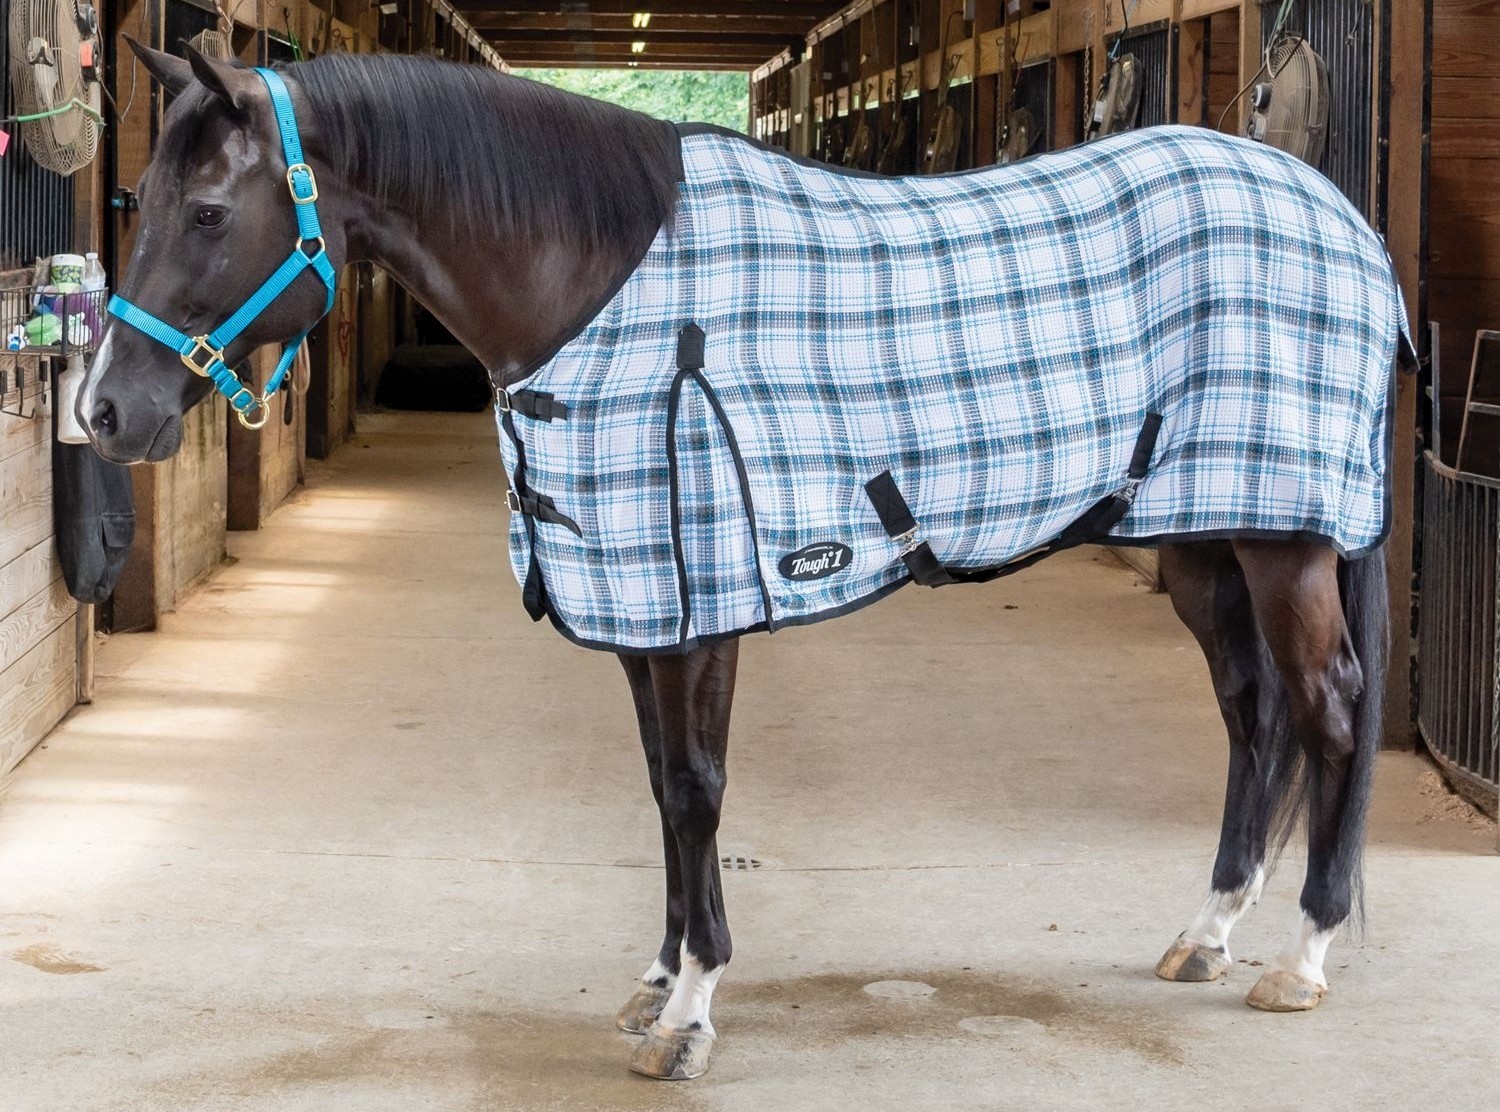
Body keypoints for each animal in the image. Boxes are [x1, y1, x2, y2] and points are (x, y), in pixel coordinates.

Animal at [82, 44, 1406, 1081]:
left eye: (208, 214)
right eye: (137, 196)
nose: (103, 412)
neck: (598, 280)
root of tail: (1341, 217)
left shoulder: (698, 602)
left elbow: (694, 787)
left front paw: (693, 1011)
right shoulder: (636, 605)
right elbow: (657, 785)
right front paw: (656, 976)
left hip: (1285, 541)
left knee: (1330, 709)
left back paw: (1302, 955)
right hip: (1203, 536)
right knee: (1253, 712)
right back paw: (1209, 931)